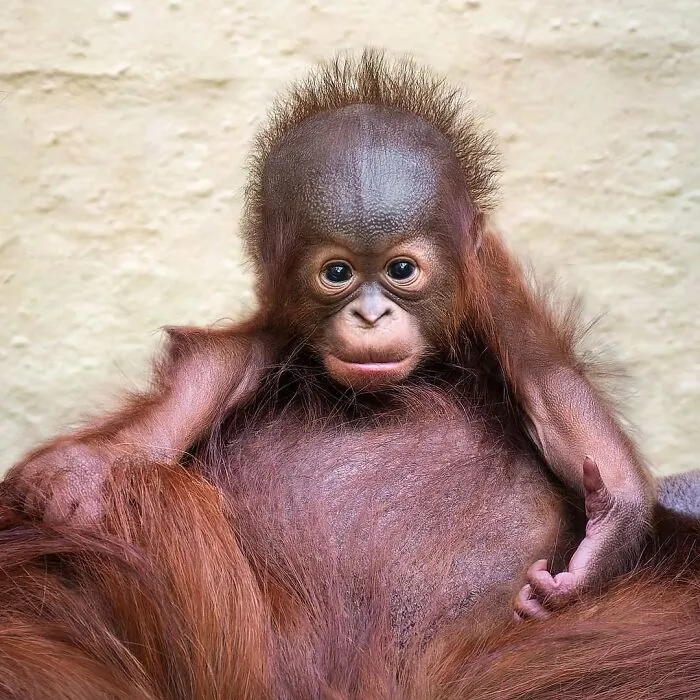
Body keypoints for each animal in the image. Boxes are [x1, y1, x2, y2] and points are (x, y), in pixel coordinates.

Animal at [1, 50, 682, 631]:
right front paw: (76, 477)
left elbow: (551, 387)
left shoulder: (488, 291)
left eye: (402, 269)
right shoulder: (276, 326)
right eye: (337, 273)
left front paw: (602, 535)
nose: (371, 315)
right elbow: (188, 394)